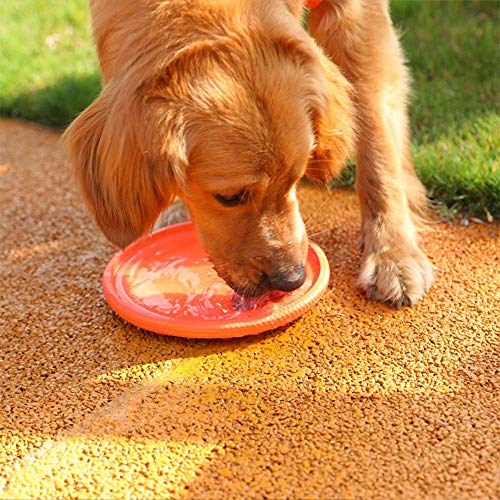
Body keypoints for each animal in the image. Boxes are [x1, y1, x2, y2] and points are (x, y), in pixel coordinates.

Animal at [65, 0, 434, 306]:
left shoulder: (357, 16)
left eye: (296, 178)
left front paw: (392, 254)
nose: (291, 279)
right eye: (230, 197)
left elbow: (376, 134)